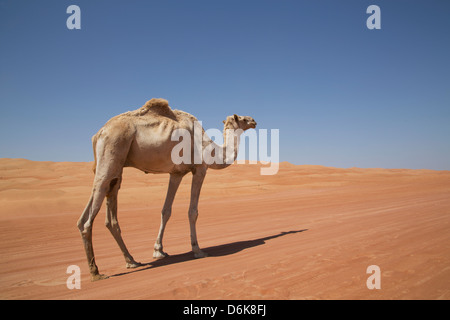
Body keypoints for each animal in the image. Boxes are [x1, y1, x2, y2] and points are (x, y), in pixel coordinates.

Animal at [75, 98, 255, 280]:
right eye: (241, 118)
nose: (253, 121)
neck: (210, 150)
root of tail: (99, 132)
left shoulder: (176, 173)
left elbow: (166, 211)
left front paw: (158, 250)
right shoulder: (200, 169)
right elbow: (193, 212)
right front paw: (197, 250)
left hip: (116, 168)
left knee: (106, 213)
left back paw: (131, 261)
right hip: (111, 151)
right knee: (88, 216)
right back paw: (96, 272)